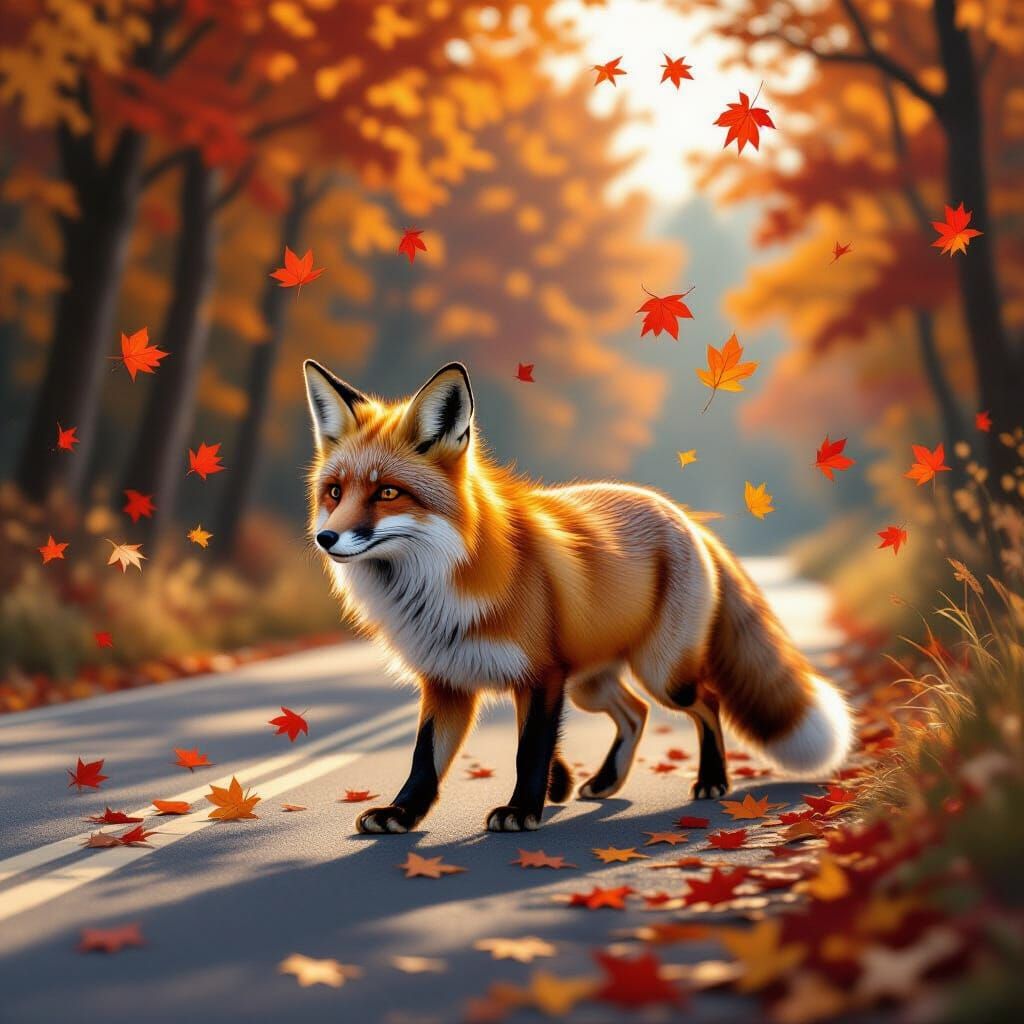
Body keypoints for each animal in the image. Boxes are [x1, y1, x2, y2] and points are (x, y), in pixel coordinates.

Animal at [303, 359, 853, 834]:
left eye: (387, 493)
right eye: (335, 492)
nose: (325, 539)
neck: (436, 588)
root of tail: (682, 515)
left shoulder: (543, 674)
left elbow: (530, 749)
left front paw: (522, 810)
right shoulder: (447, 680)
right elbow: (425, 758)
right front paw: (402, 813)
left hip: (661, 672)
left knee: (706, 701)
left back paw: (712, 780)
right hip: (591, 683)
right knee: (636, 711)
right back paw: (606, 781)